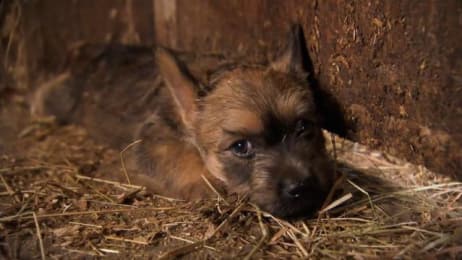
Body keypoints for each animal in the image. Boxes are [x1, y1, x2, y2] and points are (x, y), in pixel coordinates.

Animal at [33, 25, 336, 217]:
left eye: (303, 127)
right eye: (241, 147)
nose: (301, 187)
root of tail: (82, 50)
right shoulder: (154, 144)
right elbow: (185, 162)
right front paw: (207, 185)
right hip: (58, 100)